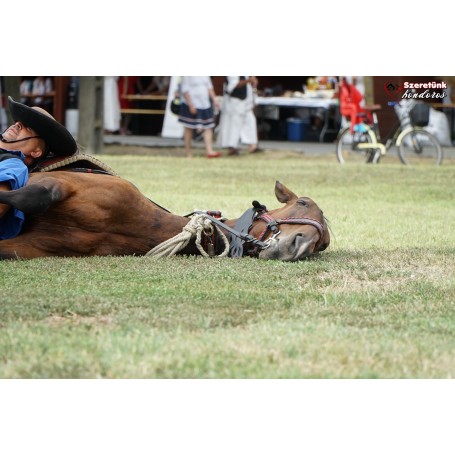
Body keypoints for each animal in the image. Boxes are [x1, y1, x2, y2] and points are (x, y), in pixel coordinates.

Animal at [0, 171, 330, 262]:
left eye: (321, 244)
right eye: (302, 202)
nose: (297, 246)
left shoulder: (26, 247)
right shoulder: (57, 181)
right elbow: (29, 196)